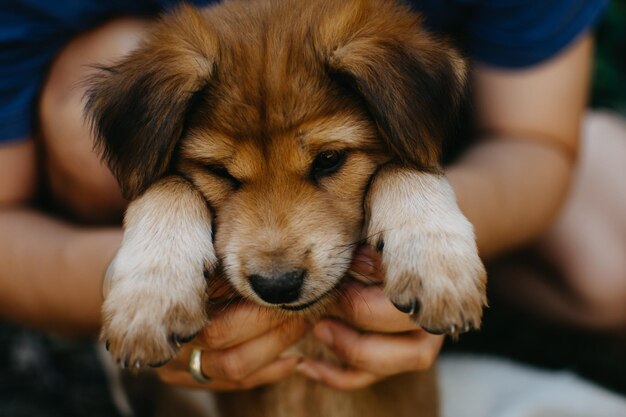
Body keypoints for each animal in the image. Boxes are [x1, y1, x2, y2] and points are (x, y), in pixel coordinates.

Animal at [85, 0, 486, 416]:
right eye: (218, 171)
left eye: (329, 159)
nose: (277, 286)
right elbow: (166, 185)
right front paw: (149, 297)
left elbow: (406, 166)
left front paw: (438, 264)